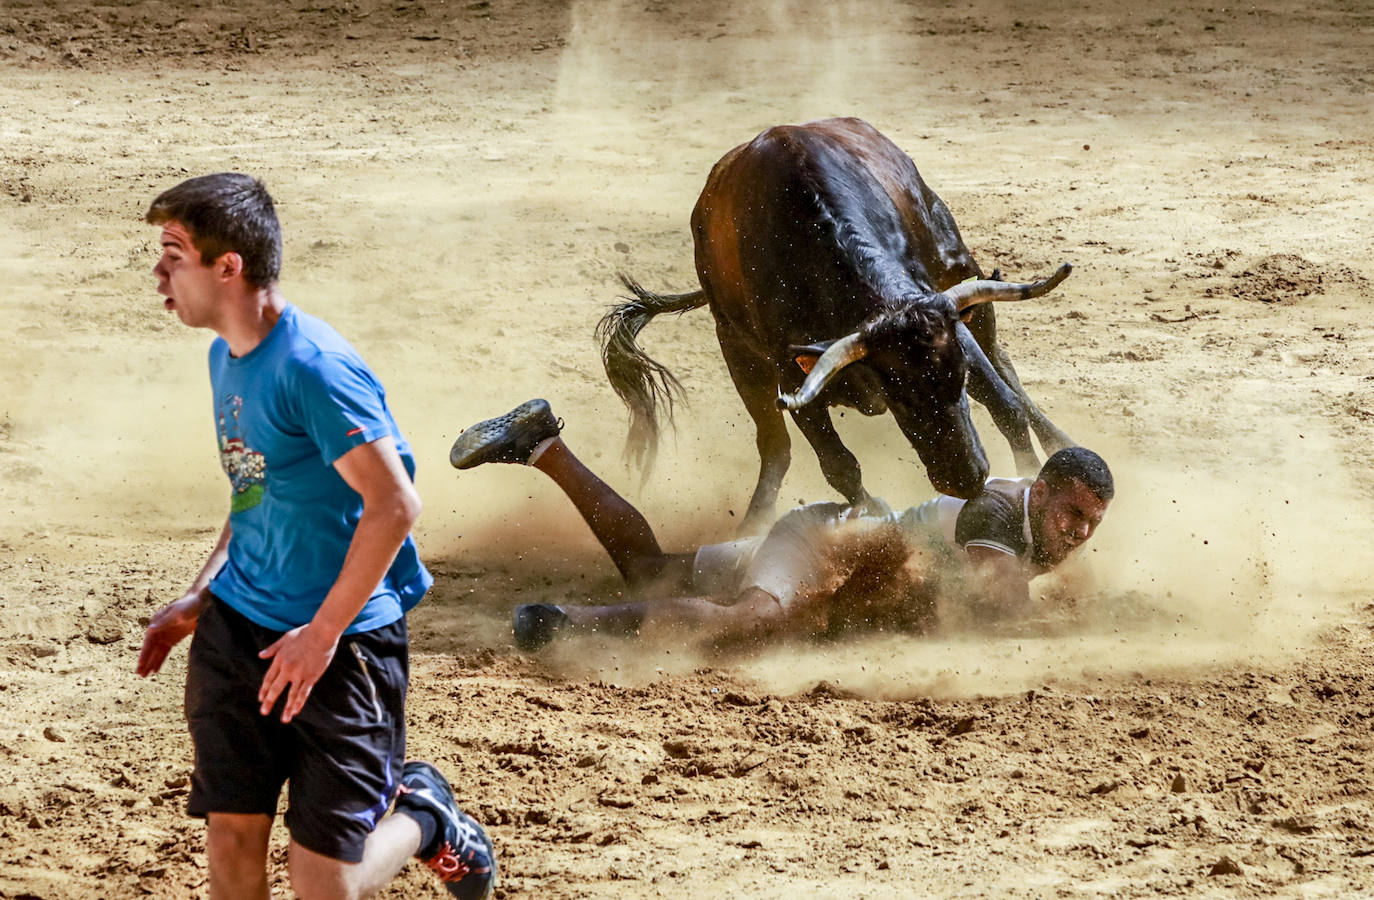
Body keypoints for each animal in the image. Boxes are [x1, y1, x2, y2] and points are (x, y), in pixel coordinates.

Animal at [601, 116, 1071, 530]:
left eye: (959, 381)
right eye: (898, 398)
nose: (968, 478)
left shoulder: (948, 318)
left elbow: (1005, 406)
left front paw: (1030, 475)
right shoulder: (791, 375)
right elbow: (839, 466)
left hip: (962, 273)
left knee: (1003, 363)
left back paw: (1059, 439)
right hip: (736, 350)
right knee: (775, 447)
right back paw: (754, 522)